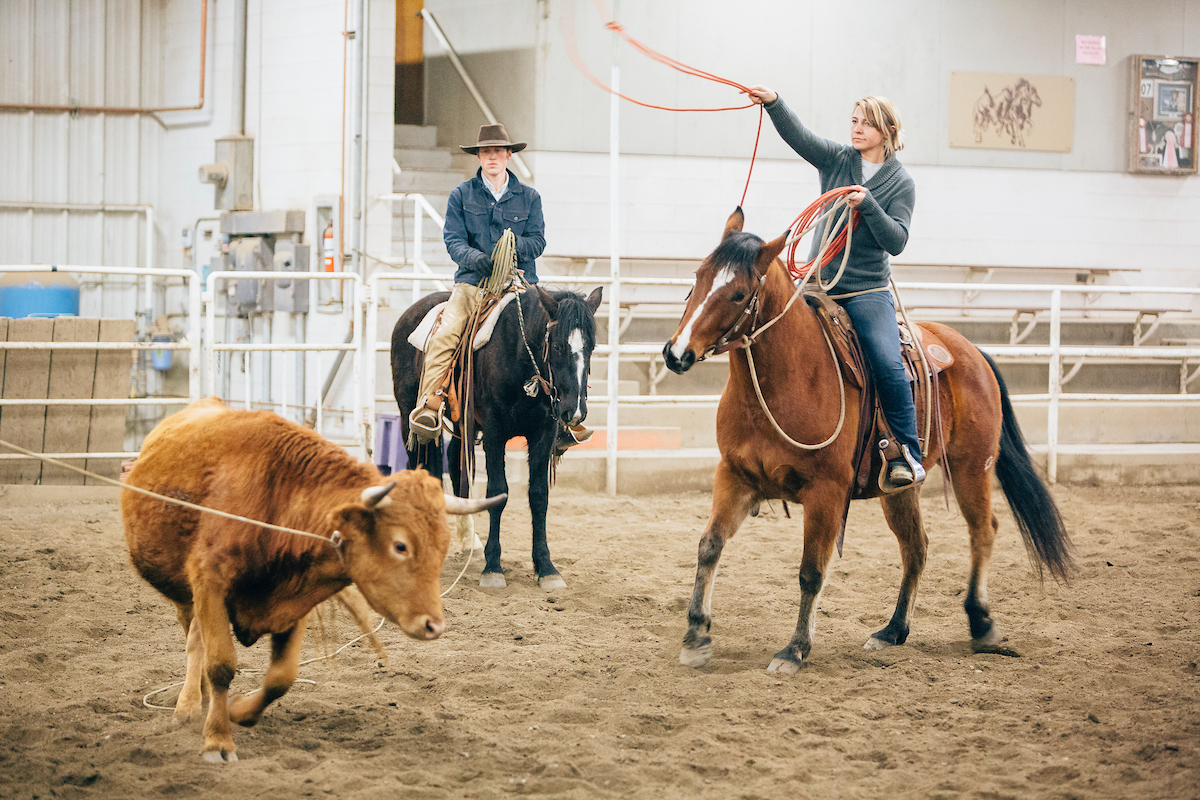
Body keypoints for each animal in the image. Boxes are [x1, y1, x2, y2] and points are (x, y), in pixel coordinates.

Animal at [120, 398, 496, 762]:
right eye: (401, 545)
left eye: (442, 546)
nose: (434, 625)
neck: (276, 497)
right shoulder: (209, 583)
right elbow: (220, 664)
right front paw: (217, 740)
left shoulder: (294, 596)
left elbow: (281, 677)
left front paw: (239, 710)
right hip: (185, 593)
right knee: (194, 640)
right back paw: (189, 703)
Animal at [391, 284, 600, 592]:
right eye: (559, 347)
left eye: (591, 348)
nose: (574, 412)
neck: (520, 356)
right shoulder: (494, 430)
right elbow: (497, 492)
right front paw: (493, 568)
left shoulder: (543, 432)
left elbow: (539, 496)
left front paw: (547, 569)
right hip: (410, 416)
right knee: (419, 465)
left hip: (463, 423)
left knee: (457, 467)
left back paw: (469, 540)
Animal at [662, 209, 1075, 671]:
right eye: (698, 276)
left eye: (737, 295)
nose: (675, 353)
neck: (785, 378)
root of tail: (972, 351)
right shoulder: (734, 475)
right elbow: (709, 547)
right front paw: (696, 636)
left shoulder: (825, 491)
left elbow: (811, 570)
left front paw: (795, 649)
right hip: (900, 488)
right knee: (916, 547)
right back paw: (893, 630)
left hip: (972, 466)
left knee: (982, 530)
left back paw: (981, 623)